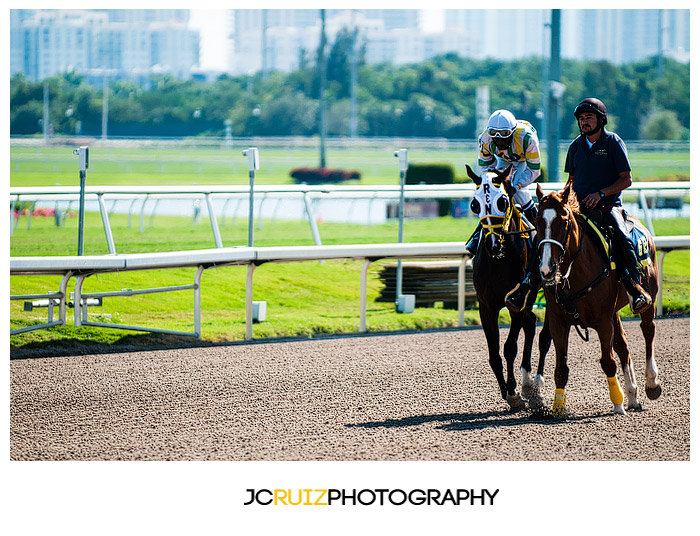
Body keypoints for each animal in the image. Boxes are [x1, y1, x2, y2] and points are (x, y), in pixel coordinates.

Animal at [536, 182, 660, 416]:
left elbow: (608, 361)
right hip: (614, 312)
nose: (547, 269)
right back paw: (632, 395)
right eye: (538, 221)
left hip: (649, 298)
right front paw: (557, 407)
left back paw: (651, 383)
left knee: (648, 331)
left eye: (563, 221)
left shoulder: (603, 320)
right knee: (623, 346)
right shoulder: (558, 321)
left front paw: (617, 403)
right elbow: (561, 368)